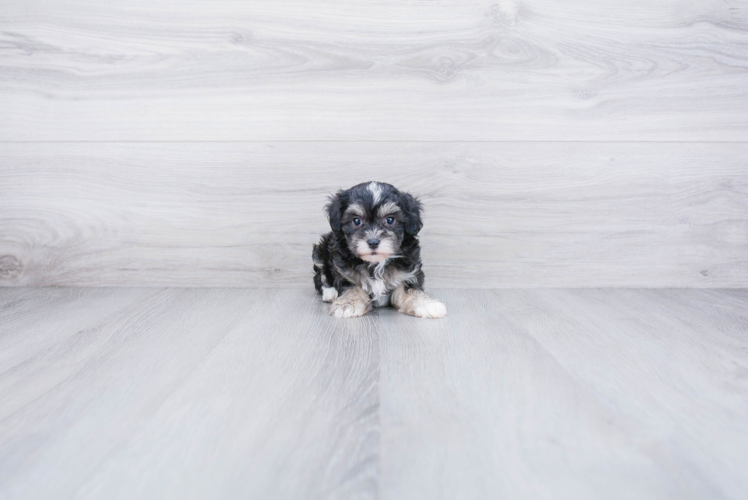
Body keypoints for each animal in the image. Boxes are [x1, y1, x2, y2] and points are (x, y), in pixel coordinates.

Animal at [314, 182, 448, 318]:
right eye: (356, 221)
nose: (373, 242)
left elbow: (410, 289)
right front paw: (347, 304)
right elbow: (353, 286)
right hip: (321, 252)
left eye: (390, 220)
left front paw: (426, 304)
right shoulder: (345, 272)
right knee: (321, 277)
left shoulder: (408, 273)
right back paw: (330, 293)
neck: (376, 263)